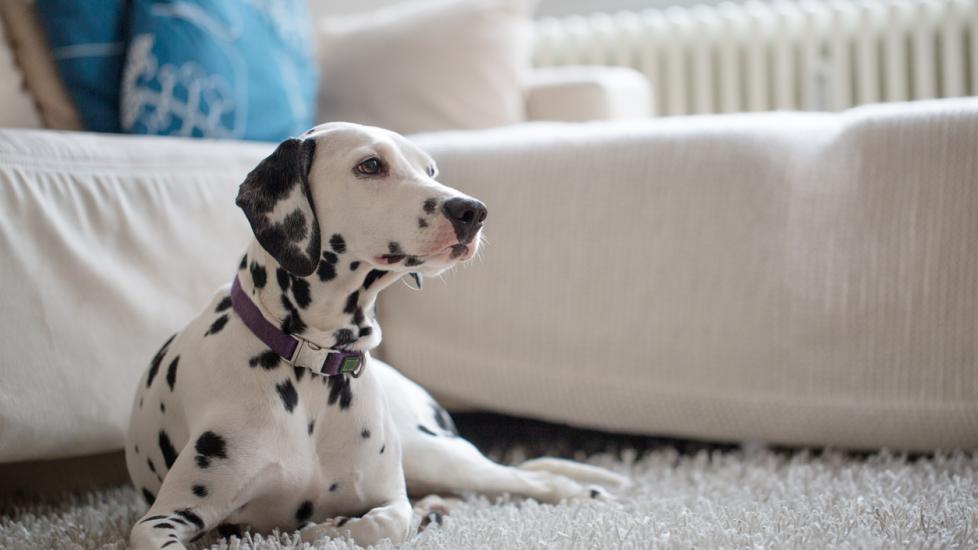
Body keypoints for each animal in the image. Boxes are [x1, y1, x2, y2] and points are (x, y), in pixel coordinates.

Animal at [126, 123, 624, 548]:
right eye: (370, 165)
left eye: (430, 170)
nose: (473, 211)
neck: (313, 364)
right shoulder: (162, 519)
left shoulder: (389, 497)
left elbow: (383, 522)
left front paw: (323, 529)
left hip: (437, 456)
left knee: (530, 477)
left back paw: (587, 495)